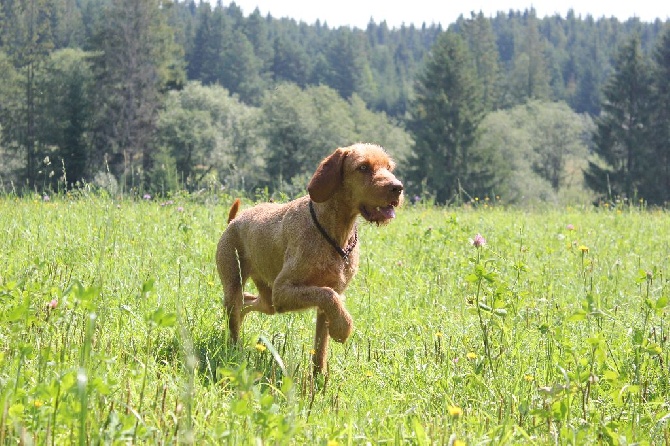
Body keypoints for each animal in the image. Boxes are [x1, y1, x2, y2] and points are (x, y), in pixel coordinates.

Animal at [217, 143, 404, 372]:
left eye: (389, 167)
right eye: (363, 167)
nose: (398, 188)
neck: (334, 233)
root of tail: (234, 221)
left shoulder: (324, 298)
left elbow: (320, 348)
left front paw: (319, 377)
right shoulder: (284, 290)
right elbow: (328, 296)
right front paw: (343, 328)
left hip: (269, 300)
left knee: (248, 303)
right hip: (236, 283)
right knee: (234, 314)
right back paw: (235, 352)